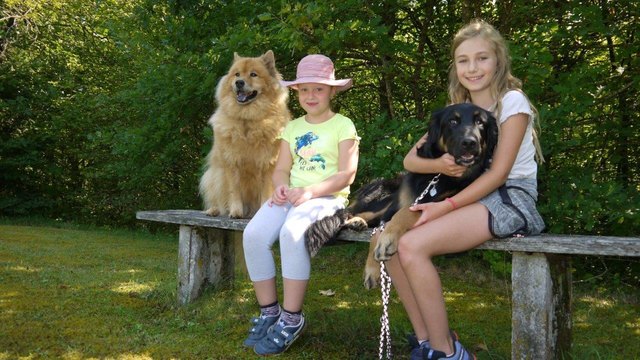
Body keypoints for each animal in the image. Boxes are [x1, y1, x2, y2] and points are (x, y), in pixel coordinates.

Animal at [199, 50, 292, 218]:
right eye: (237, 74)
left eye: (253, 74)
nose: (239, 82)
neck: (247, 119)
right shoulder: (231, 163)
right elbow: (234, 191)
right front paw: (236, 212)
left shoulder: (268, 163)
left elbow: (265, 191)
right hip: (214, 176)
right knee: (217, 199)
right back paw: (214, 210)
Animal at [304, 102, 500, 288]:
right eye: (453, 121)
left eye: (480, 122)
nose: (470, 142)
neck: (439, 176)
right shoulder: (392, 209)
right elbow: (384, 229)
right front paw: (373, 266)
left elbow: (407, 212)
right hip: (384, 197)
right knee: (353, 213)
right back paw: (356, 221)